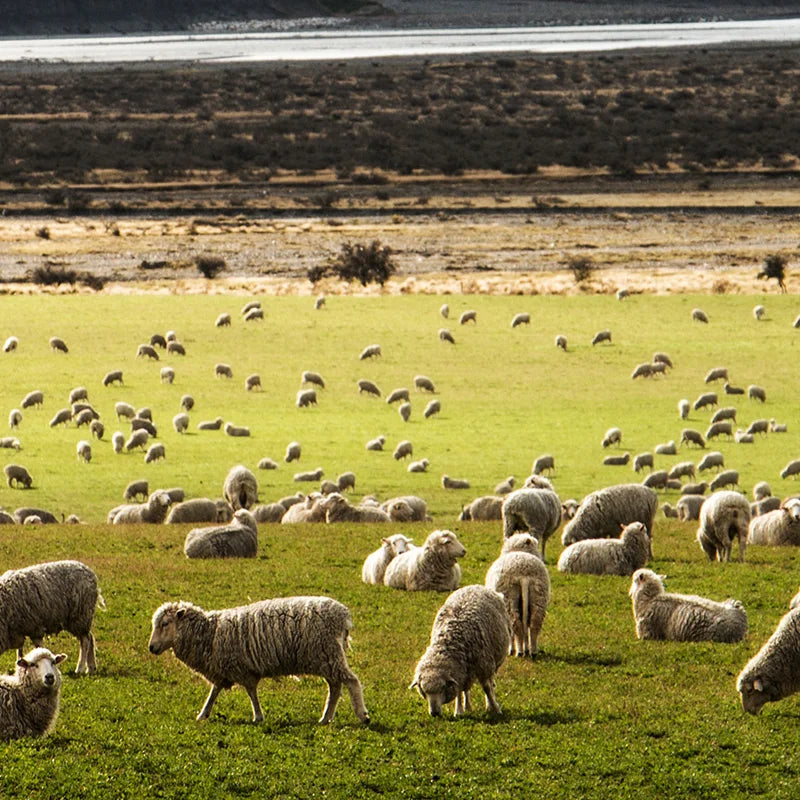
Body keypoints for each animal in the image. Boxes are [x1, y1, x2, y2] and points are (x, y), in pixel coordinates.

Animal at [148, 597, 369, 724]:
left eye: (165, 623)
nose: (151, 647)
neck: (210, 633)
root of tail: (343, 615)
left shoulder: (241, 668)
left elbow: (251, 692)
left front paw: (258, 717)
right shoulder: (222, 669)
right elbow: (214, 691)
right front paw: (203, 714)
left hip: (328, 653)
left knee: (351, 681)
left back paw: (362, 715)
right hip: (327, 657)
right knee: (335, 687)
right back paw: (326, 718)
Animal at [410, 585, 510, 717]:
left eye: (443, 687)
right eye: (423, 690)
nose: (434, 713)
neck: (449, 641)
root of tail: (474, 586)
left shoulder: (484, 666)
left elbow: (487, 689)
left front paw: (496, 708)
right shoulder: (458, 672)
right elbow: (458, 691)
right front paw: (458, 711)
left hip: (492, 663)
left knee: (490, 683)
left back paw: (489, 704)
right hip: (467, 670)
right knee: (466, 689)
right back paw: (467, 706)